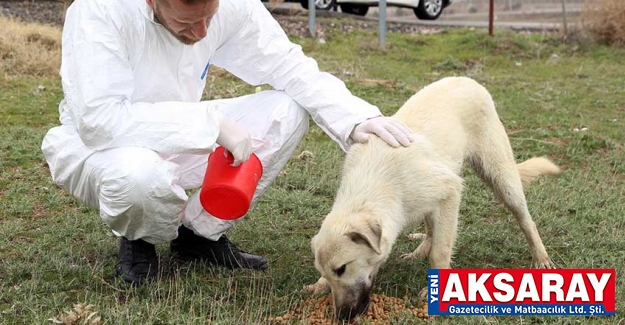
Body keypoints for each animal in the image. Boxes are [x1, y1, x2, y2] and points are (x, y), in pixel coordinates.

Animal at [308, 76, 560, 318]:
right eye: (328, 273)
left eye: (342, 268)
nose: (342, 316)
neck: (374, 181)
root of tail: (467, 79)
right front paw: (319, 285)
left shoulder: (451, 193)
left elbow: (440, 252)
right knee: (430, 229)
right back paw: (419, 251)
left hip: (503, 181)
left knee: (526, 221)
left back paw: (541, 258)